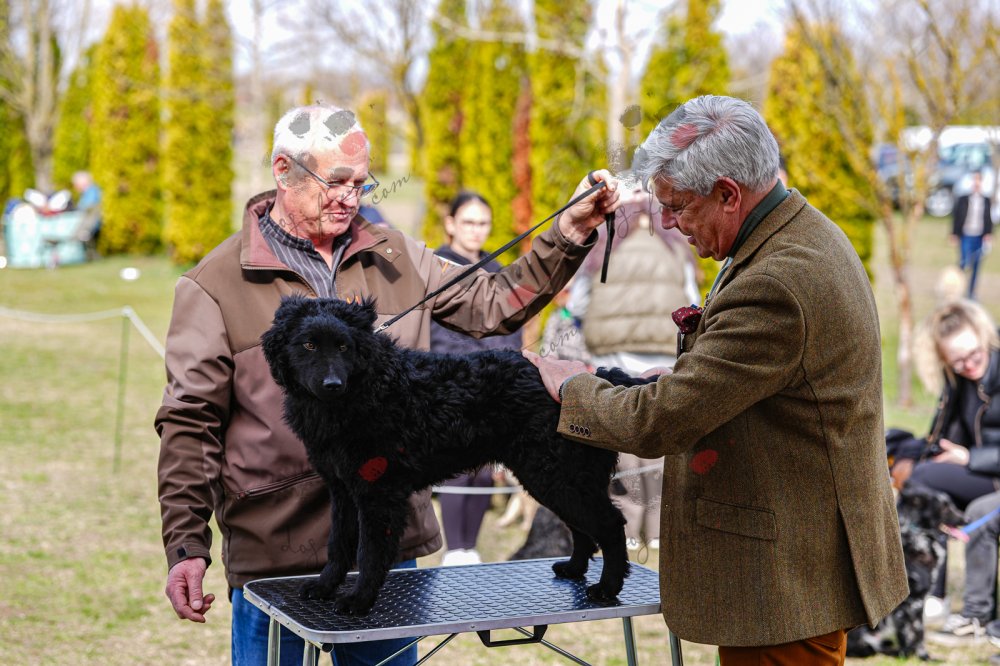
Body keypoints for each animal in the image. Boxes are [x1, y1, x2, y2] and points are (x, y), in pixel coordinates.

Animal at [262, 295, 642, 615]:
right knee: (582, 529)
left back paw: (606, 588)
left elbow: (370, 553)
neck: (368, 387)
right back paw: (574, 569)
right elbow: (338, 545)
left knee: (610, 526)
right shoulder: (342, 490)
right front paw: (325, 587)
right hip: (553, 480)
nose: (332, 385)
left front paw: (359, 599)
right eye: (309, 344)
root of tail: (602, 377)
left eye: (344, 346)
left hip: (557, 478)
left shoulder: (379, 494)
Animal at [847, 482, 964, 660]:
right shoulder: (909, 603)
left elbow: (915, 633)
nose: (967, 518)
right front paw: (920, 656)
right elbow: (914, 634)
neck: (917, 535)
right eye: (944, 508)